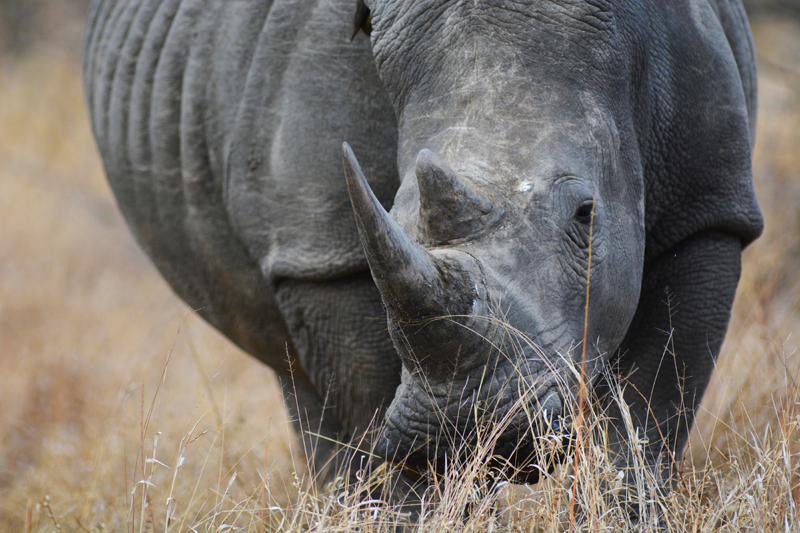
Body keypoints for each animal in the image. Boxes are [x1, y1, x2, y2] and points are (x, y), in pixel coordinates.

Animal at [84, 0, 762, 497]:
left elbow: (648, 423)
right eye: (391, 216)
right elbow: (375, 435)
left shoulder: (711, 210)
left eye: (585, 215)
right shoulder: (324, 256)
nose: (460, 429)